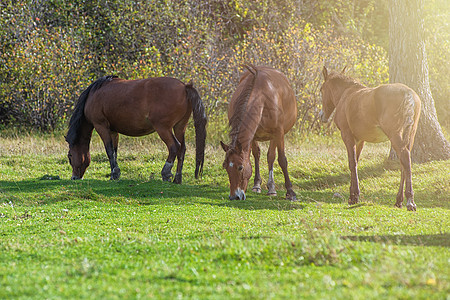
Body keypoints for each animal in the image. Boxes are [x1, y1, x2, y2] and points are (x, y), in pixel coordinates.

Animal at [65, 75, 207, 183]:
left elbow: (109, 151)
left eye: (70, 155)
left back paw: (166, 173)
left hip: (163, 128)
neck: (93, 94)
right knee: (182, 149)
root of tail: (184, 87)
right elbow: (115, 151)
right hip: (180, 127)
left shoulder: (101, 126)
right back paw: (177, 178)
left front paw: (113, 174)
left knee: (174, 146)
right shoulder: (113, 130)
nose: (74, 177)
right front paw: (116, 173)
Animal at [220, 64, 298, 200]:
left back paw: (271, 187)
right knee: (258, 155)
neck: (261, 98)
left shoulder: (278, 133)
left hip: (274, 136)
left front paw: (290, 191)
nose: (234, 197)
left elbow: (282, 160)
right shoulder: (252, 135)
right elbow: (255, 154)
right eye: (225, 167)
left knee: (271, 156)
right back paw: (257, 185)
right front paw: (257, 184)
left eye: (240, 167)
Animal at [318, 66, 420, 210]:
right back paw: (399, 200)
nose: (322, 116)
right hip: (410, 135)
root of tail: (409, 95)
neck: (346, 95)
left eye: (321, 89)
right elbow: (355, 161)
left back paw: (409, 200)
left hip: (395, 135)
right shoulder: (360, 140)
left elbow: (352, 163)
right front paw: (353, 194)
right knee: (404, 164)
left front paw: (354, 196)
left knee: (405, 158)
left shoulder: (347, 136)